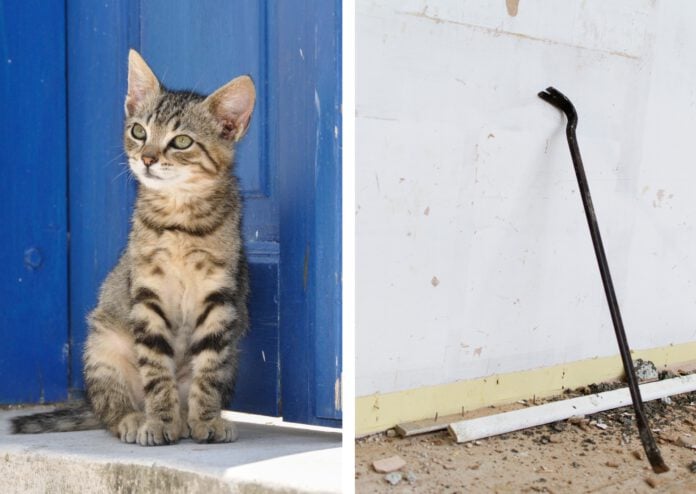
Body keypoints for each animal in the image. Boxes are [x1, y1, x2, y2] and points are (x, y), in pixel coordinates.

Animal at [11, 48, 253, 446]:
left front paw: (206, 419)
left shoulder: (219, 298)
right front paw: (159, 421)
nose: (147, 158)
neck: (178, 221)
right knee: (110, 406)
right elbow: (155, 369)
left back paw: (188, 419)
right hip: (102, 346)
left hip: (233, 355)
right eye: (139, 132)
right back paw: (135, 418)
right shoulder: (147, 294)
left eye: (181, 141)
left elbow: (208, 370)